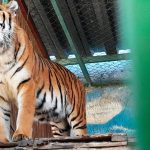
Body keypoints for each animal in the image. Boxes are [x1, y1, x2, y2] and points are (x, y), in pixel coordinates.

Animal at [0, 0, 86, 143]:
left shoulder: (27, 84)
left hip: (77, 115)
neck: (2, 55)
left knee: (81, 133)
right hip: (59, 123)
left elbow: (24, 113)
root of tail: (78, 79)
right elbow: (1, 120)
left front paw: (21, 134)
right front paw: (3, 141)